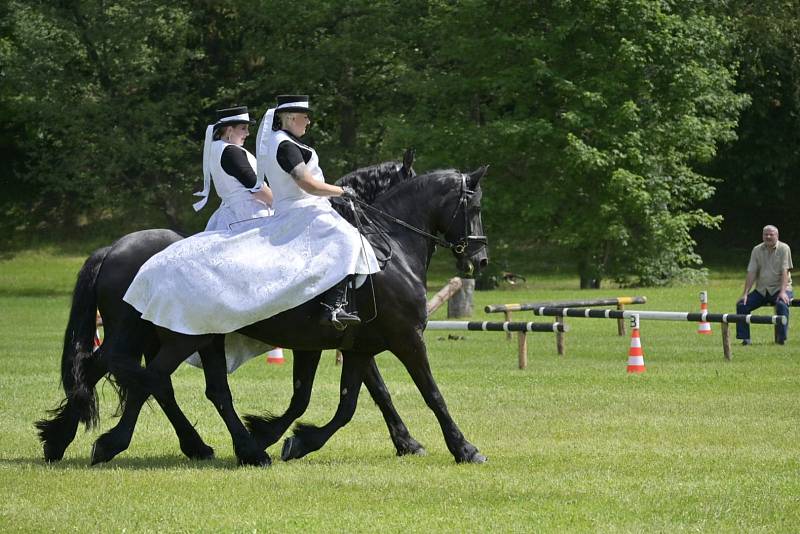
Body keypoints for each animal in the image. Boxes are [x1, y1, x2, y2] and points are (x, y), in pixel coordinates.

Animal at [37, 165, 488, 466]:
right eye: (475, 205)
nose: (479, 260)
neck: (384, 248)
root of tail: (114, 248)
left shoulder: (353, 347)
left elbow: (351, 401)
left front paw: (294, 440)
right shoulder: (405, 339)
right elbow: (429, 394)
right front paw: (463, 448)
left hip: (168, 337)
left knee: (131, 375)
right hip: (171, 337)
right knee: (151, 379)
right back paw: (119, 444)